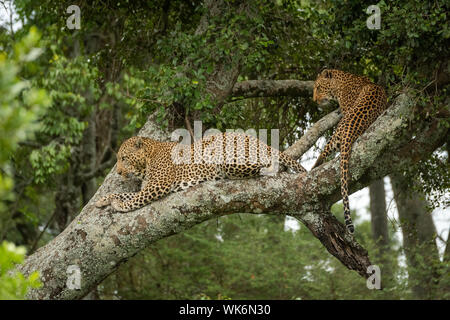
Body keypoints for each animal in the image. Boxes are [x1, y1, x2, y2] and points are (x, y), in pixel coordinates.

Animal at [95, 131, 306, 211]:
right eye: (118, 159)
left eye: (124, 158)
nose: (118, 173)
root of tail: (258, 141)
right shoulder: (148, 186)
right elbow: (124, 193)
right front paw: (103, 200)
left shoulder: (158, 185)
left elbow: (134, 200)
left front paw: (119, 206)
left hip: (229, 157)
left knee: (263, 165)